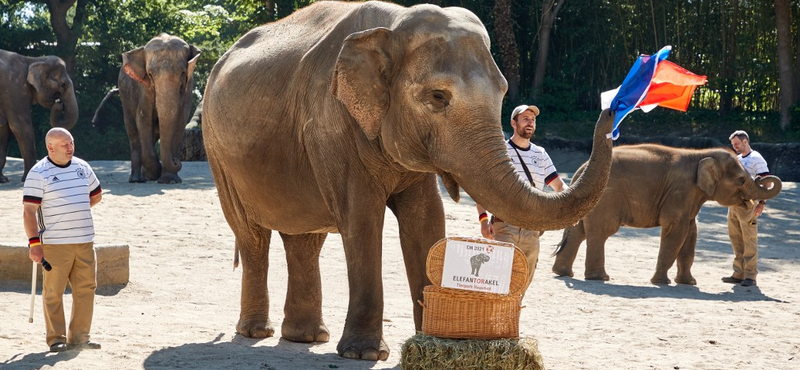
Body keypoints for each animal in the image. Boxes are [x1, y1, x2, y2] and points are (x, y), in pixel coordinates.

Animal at [0, 49, 79, 182]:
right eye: (63, 84)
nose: (59, 103)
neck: (32, 60)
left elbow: (4, 128)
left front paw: (3, 179)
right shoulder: (14, 89)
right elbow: (20, 127)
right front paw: (28, 177)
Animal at [94, 34, 200, 184]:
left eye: (182, 73)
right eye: (150, 74)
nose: (176, 161)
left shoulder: (188, 88)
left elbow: (180, 121)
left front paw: (169, 180)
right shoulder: (144, 87)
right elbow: (143, 118)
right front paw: (155, 173)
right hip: (125, 98)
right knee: (133, 133)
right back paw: (137, 179)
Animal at [205, 0, 612, 362]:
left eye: (502, 92)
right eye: (438, 96)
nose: (609, 110)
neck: (393, 24)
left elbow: (425, 217)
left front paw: (435, 335)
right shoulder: (330, 123)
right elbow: (362, 218)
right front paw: (364, 353)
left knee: (304, 238)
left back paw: (307, 337)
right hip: (218, 152)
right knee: (252, 235)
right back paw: (257, 332)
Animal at [552, 143, 780, 284]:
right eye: (741, 180)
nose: (763, 177)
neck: (701, 154)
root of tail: (580, 170)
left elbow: (691, 234)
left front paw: (689, 283)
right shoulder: (680, 191)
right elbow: (676, 231)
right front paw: (661, 282)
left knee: (578, 232)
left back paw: (563, 273)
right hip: (606, 200)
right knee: (601, 232)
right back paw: (600, 278)